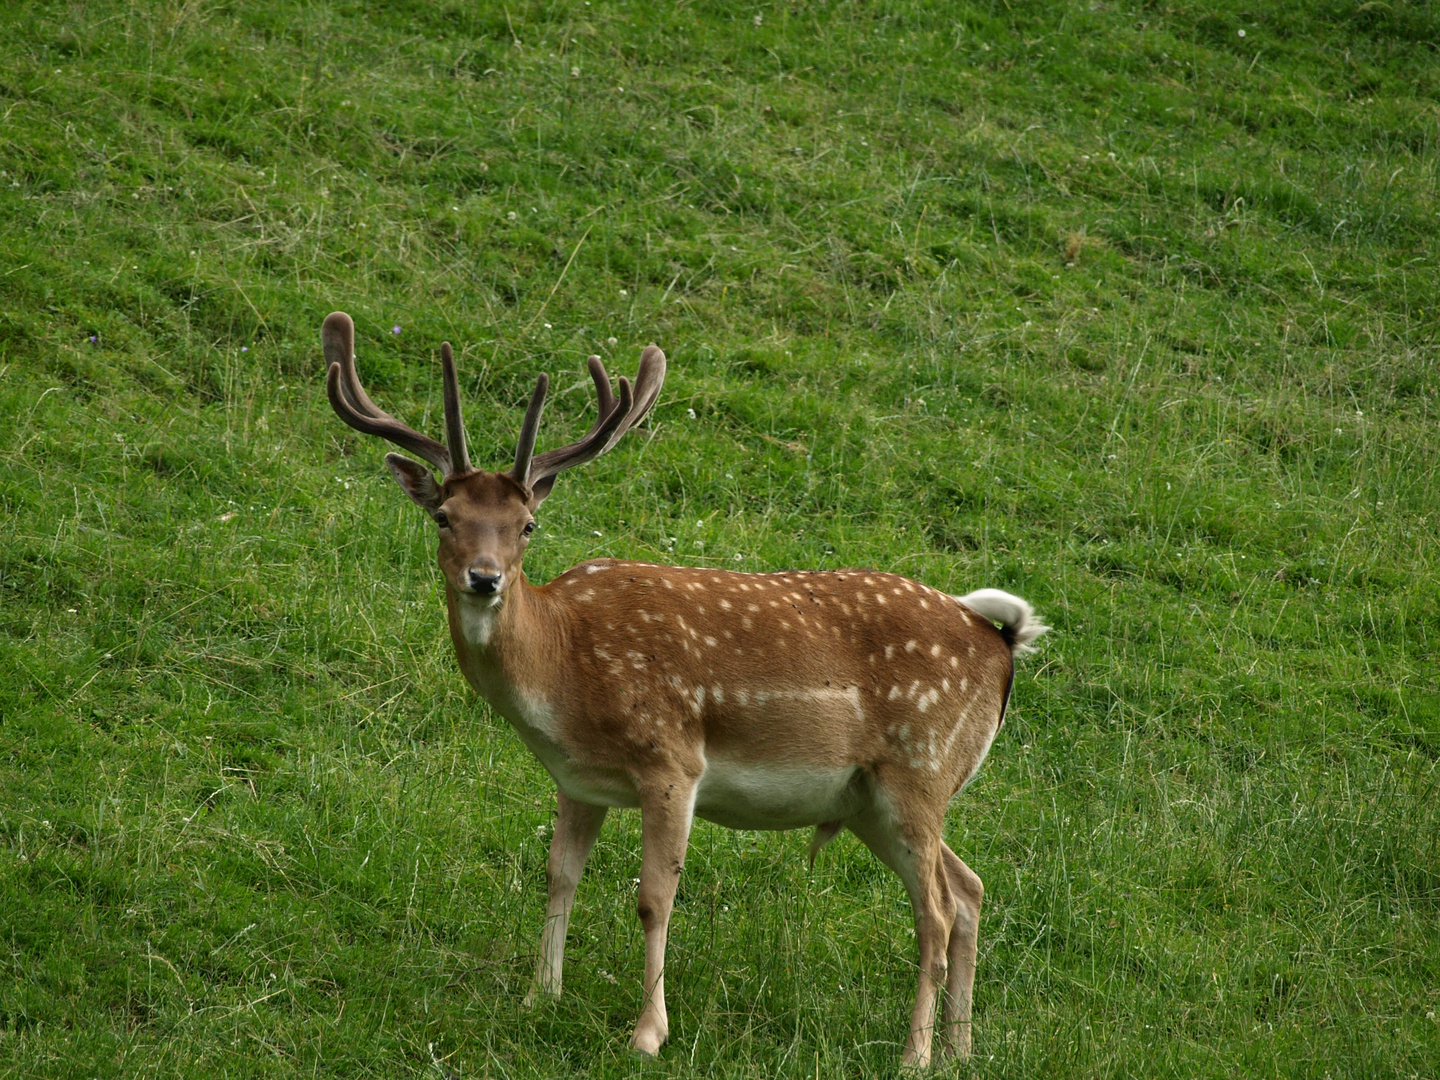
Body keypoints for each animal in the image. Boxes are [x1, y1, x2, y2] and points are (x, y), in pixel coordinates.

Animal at [321, 311, 1048, 1065]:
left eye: (528, 525)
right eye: (444, 517)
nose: (485, 577)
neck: (563, 672)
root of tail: (1001, 644)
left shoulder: (671, 758)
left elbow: (654, 897)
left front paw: (647, 1033)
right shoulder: (578, 779)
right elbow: (560, 874)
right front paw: (538, 998)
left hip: (919, 767)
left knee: (936, 909)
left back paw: (914, 1055)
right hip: (872, 798)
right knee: (969, 888)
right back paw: (960, 1049)